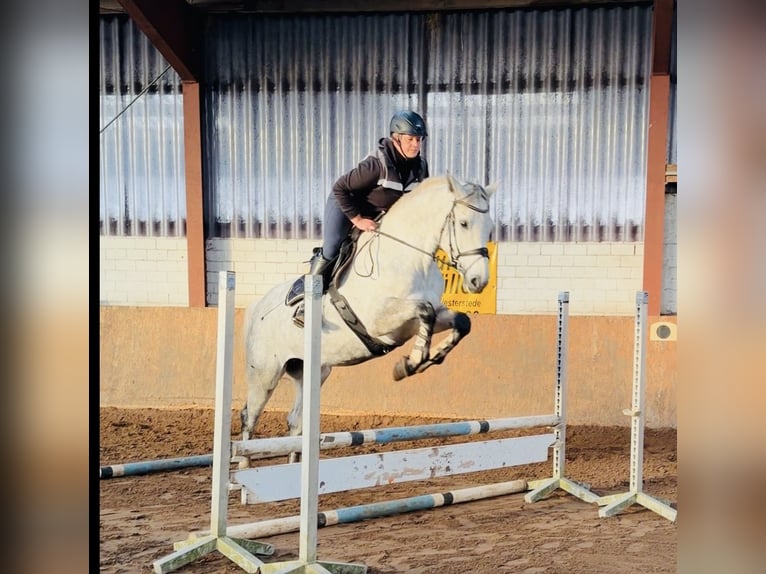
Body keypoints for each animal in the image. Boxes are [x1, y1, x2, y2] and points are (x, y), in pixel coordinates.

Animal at [240, 174, 497, 456]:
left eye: (489, 228)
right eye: (463, 223)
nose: (478, 281)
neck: (409, 258)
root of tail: (258, 305)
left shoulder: (421, 319)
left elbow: (460, 321)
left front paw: (427, 358)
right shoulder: (380, 321)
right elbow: (424, 311)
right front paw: (410, 363)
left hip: (312, 371)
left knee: (295, 423)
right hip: (265, 373)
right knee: (249, 418)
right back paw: (240, 466)